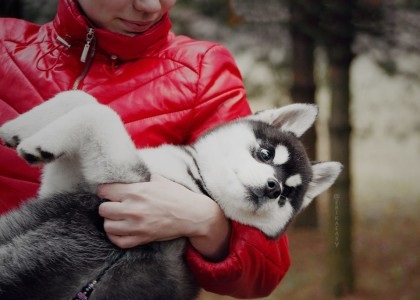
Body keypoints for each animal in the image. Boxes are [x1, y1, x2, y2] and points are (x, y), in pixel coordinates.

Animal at [0, 91, 342, 300]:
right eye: (266, 153)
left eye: (287, 194)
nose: (274, 188)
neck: (197, 180)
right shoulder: (70, 185)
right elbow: (83, 98)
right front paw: (15, 129)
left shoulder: (127, 179)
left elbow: (101, 113)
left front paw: (35, 144)